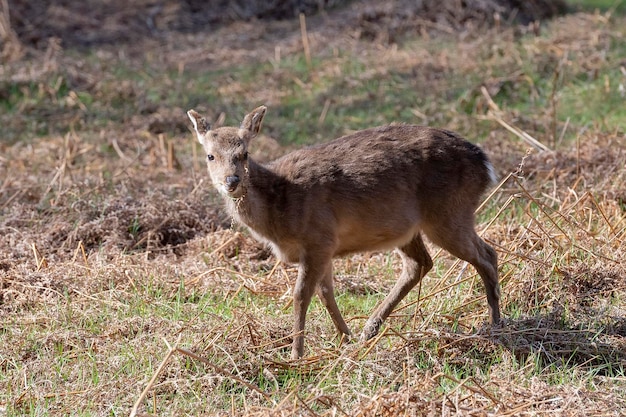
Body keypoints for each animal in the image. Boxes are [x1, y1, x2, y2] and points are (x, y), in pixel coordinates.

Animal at [188, 105, 500, 360]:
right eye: (210, 155)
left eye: (244, 154)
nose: (232, 181)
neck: (280, 209)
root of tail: (485, 164)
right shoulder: (324, 246)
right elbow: (326, 292)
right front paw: (345, 338)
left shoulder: (318, 237)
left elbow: (301, 295)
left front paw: (296, 354)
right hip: (408, 227)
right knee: (420, 263)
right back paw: (369, 329)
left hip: (449, 213)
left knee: (487, 254)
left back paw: (497, 325)